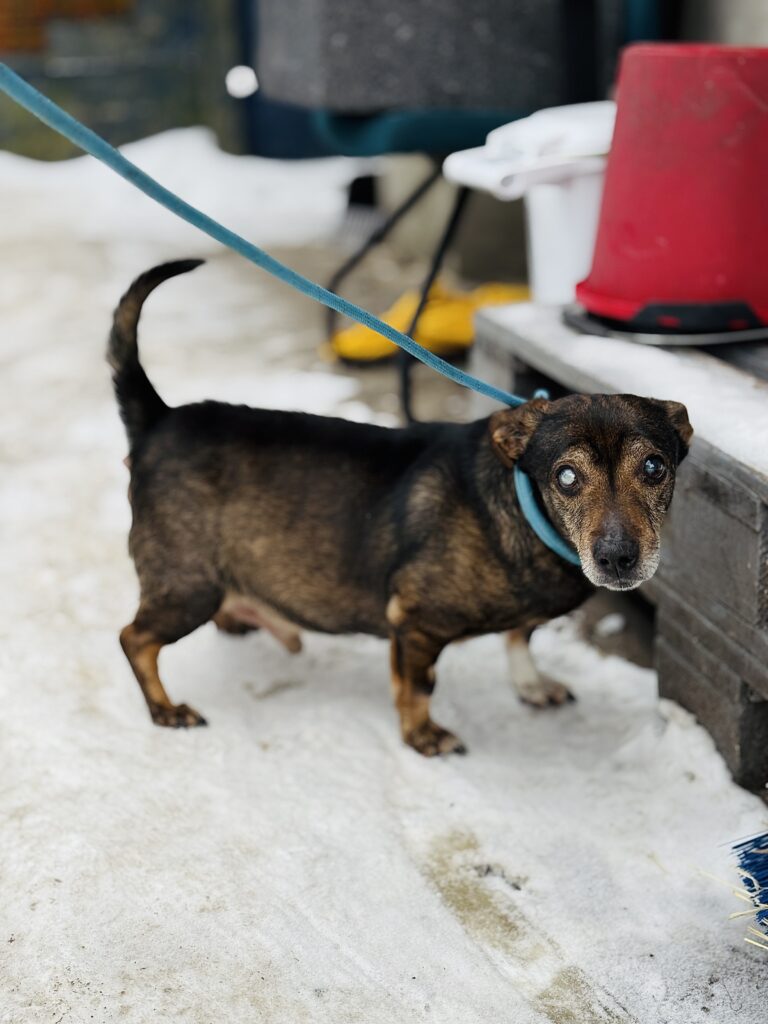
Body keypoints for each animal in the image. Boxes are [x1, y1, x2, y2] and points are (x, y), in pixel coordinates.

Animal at [109, 261, 692, 755]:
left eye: (655, 467)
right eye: (566, 477)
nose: (618, 558)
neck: (522, 512)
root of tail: (158, 420)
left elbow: (519, 637)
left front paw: (530, 684)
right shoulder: (415, 623)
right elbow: (417, 688)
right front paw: (423, 737)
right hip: (189, 585)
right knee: (134, 639)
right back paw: (165, 709)